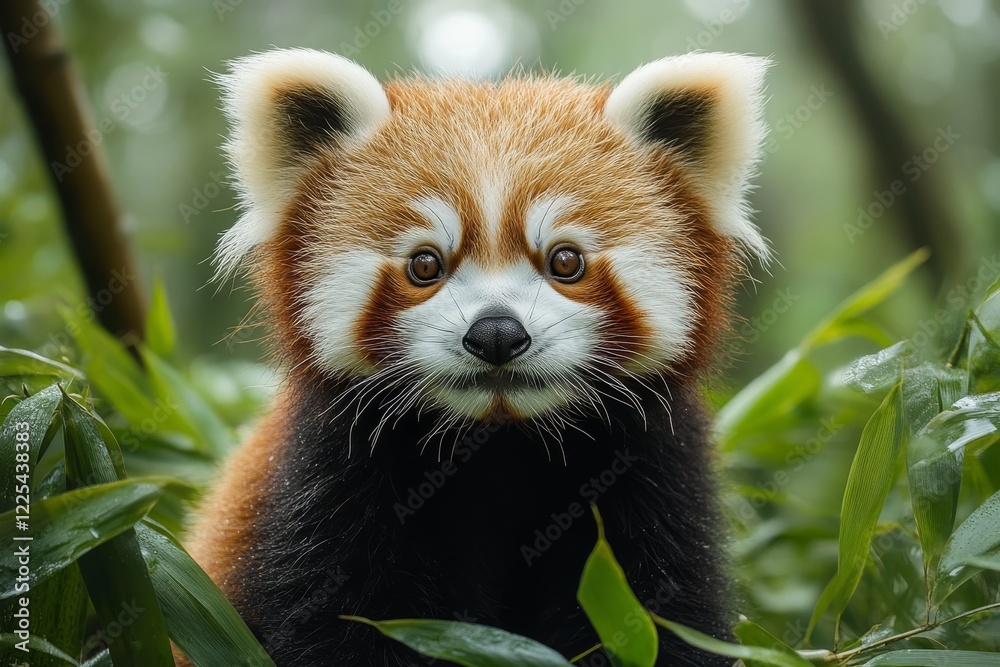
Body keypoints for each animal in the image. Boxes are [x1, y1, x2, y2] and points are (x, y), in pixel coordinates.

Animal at [181, 48, 770, 666]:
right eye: (425, 265)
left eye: (565, 261)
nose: (496, 335)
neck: (500, 448)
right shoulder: (324, 488)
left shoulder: (653, 481)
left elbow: (661, 620)